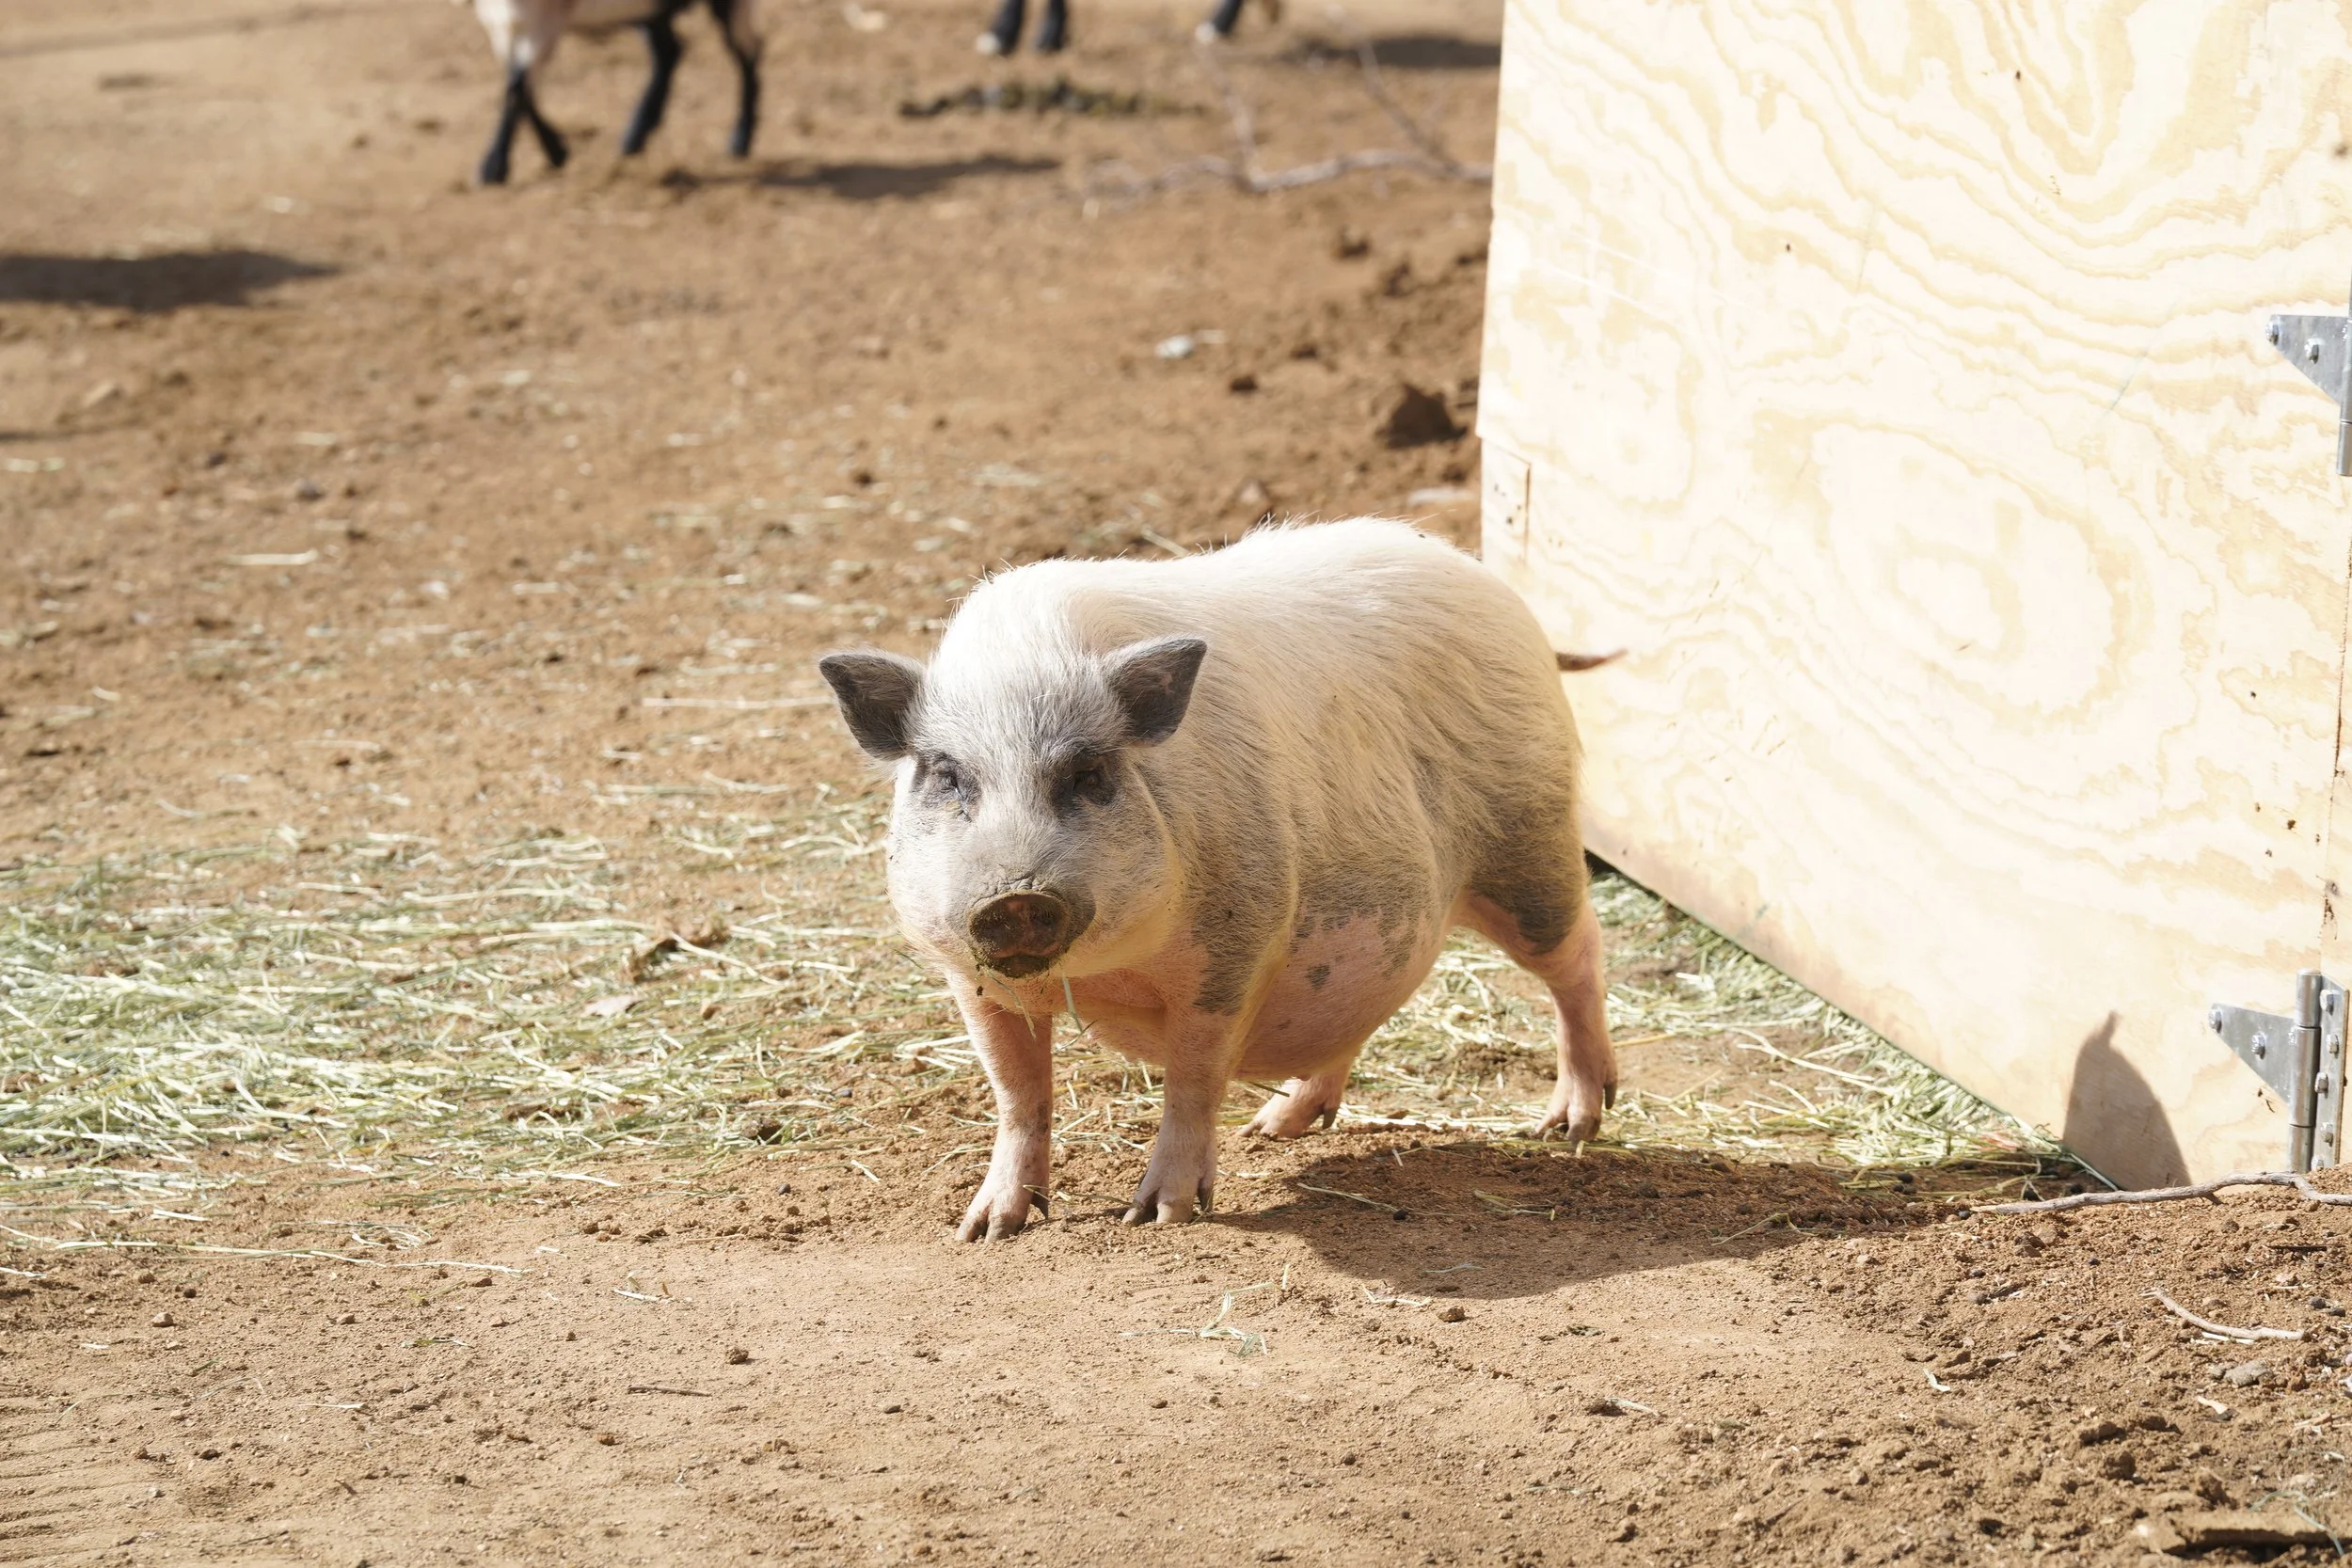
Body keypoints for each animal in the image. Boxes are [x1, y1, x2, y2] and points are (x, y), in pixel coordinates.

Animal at [816, 518, 1615, 1239]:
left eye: (1089, 773)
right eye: (948, 775)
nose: (1015, 895)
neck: (1097, 970)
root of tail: (1500, 596)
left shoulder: (1239, 939)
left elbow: (1193, 1078)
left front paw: (1159, 1215)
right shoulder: (971, 975)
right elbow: (1018, 1091)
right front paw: (984, 1229)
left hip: (1531, 840)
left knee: (1578, 952)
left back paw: (1571, 1125)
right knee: (1362, 1004)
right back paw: (1276, 1126)